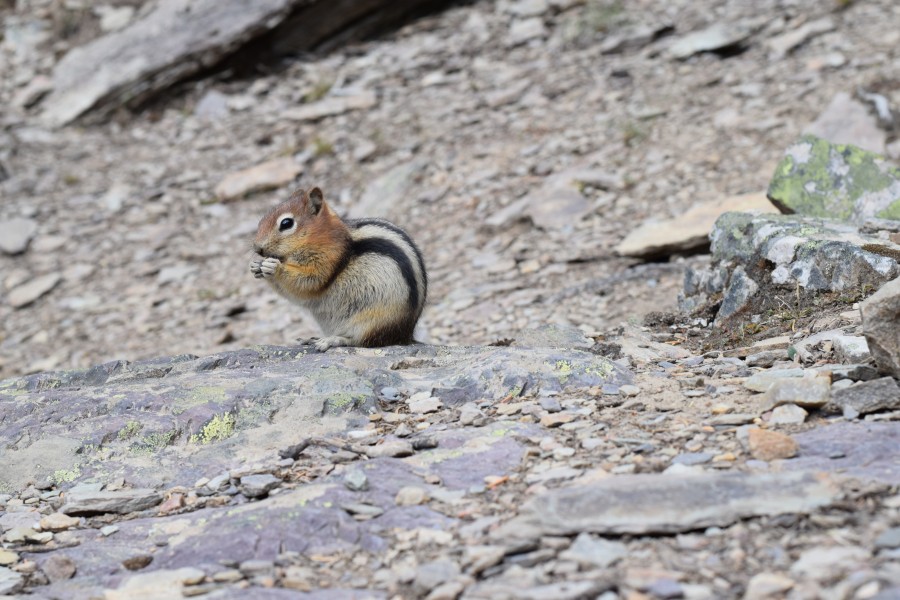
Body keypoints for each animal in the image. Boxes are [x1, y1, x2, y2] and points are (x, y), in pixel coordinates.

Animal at [249, 186, 427, 352]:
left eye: (286, 223)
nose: (257, 248)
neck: (321, 237)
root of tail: (405, 336)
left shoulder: (328, 260)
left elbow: (308, 283)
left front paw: (274, 267)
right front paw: (256, 266)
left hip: (373, 321)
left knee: (360, 341)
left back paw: (332, 340)